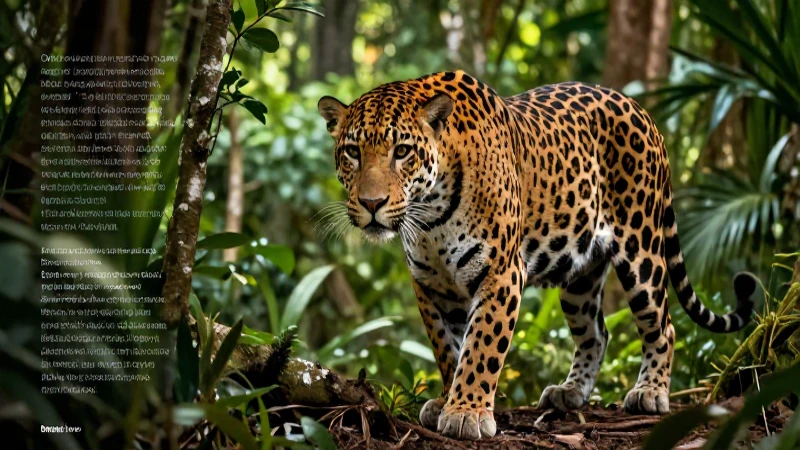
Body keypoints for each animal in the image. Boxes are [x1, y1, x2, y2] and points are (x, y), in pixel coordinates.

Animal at [317, 70, 757, 440]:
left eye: (403, 151)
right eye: (352, 152)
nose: (371, 204)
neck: (429, 216)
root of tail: (640, 109)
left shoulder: (500, 274)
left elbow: (480, 348)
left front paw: (467, 411)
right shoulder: (431, 284)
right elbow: (447, 348)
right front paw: (447, 399)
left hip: (642, 249)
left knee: (662, 325)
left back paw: (650, 392)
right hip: (579, 275)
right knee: (596, 332)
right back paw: (570, 391)